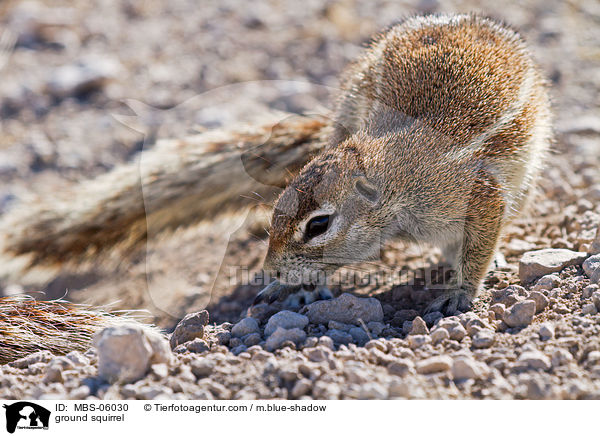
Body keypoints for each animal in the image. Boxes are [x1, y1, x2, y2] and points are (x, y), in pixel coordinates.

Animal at [255, 13, 552, 314]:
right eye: (278, 204)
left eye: (318, 225)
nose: (271, 269)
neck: (399, 180)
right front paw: (287, 286)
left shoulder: (478, 195)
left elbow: (477, 249)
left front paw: (459, 291)